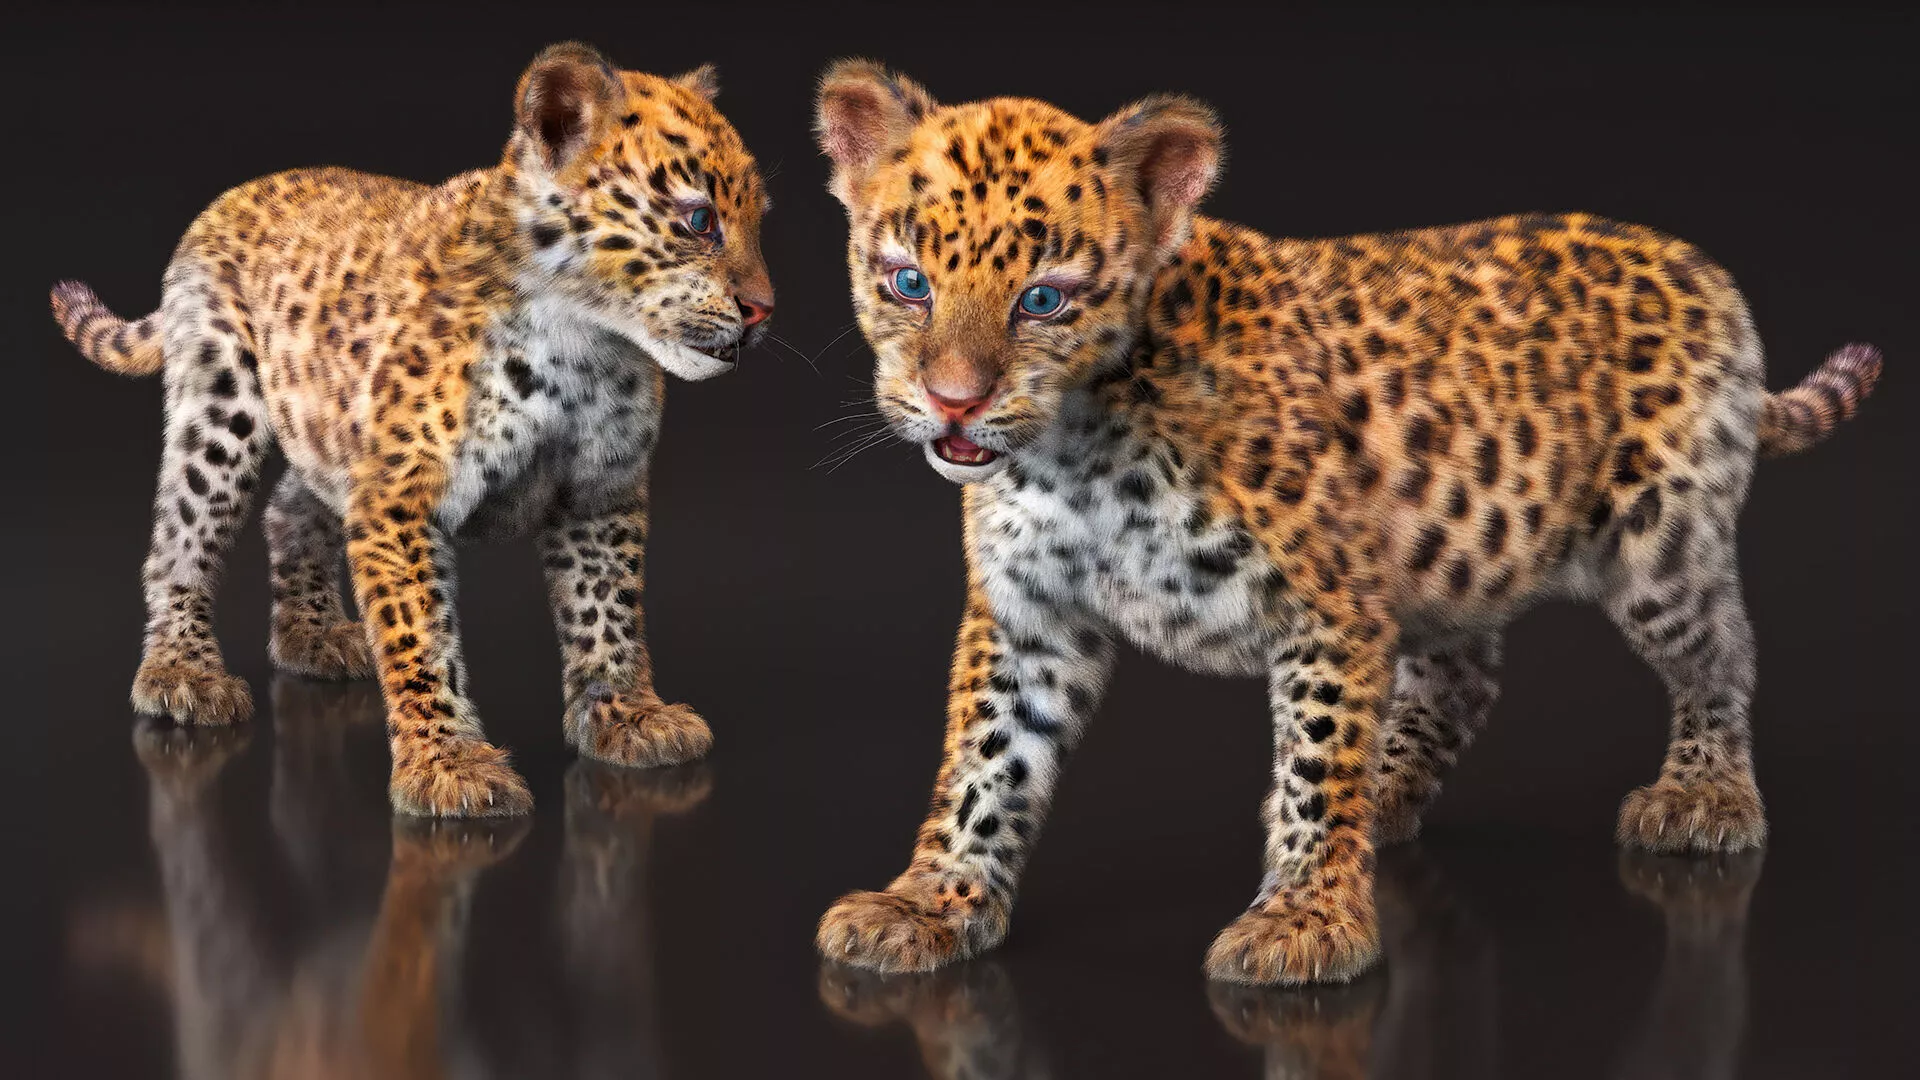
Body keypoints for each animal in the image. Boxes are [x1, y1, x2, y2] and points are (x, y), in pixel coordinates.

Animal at [50, 42, 775, 817]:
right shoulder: (399, 498)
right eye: (699, 221)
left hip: (328, 423)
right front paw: (447, 764)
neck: (585, 344)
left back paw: (312, 637)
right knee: (182, 534)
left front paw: (626, 716)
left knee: (287, 508)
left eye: (759, 220)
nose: (765, 309)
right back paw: (181, 672)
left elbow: (607, 607)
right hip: (221, 405)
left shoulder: (600, 493)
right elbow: (421, 634)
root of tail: (229, 198)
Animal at [808, 60, 1880, 986]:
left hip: (1657, 545)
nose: (952, 404)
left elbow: (1317, 763)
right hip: (1455, 548)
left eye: (1042, 300)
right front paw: (932, 903)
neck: (1073, 450)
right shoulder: (1027, 617)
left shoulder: (1329, 604)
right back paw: (1390, 792)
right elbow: (986, 764)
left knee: (1720, 647)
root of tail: (1700, 266)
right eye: (909, 283)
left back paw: (1707, 794)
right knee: (1463, 674)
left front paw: (1305, 920)